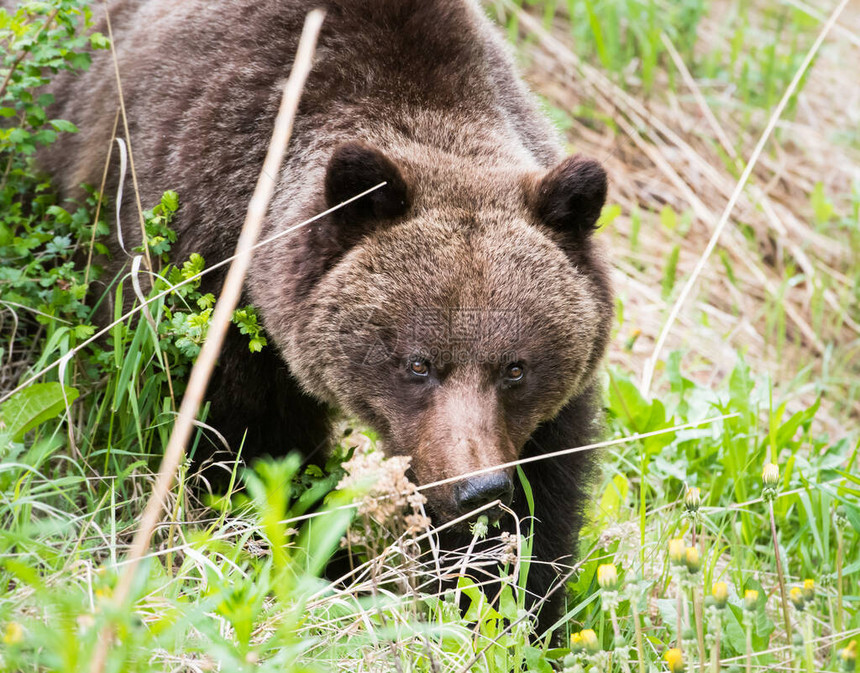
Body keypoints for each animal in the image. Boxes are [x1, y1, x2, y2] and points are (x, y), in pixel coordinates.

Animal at [40, 0, 616, 624]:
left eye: (515, 368)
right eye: (417, 363)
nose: (476, 488)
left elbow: (542, 492)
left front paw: (510, 603)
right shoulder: (207, 273)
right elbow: (249, 450)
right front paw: (326, 567)